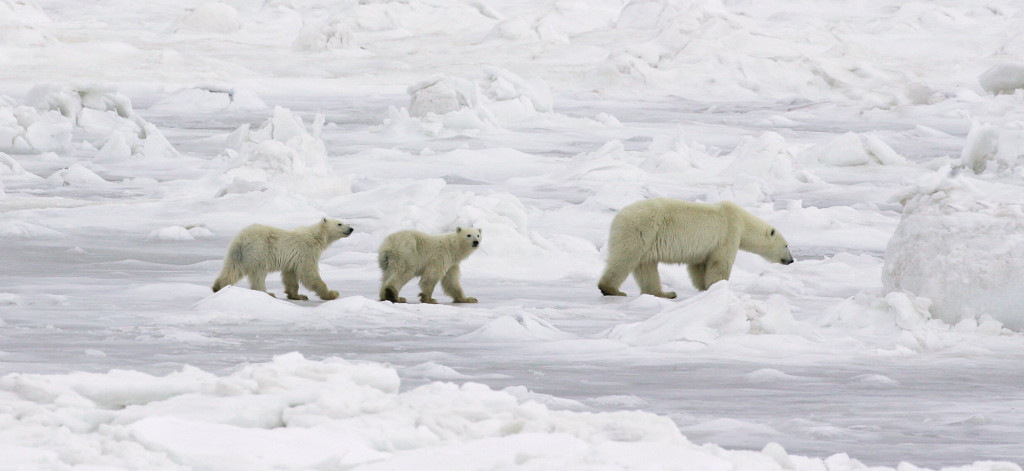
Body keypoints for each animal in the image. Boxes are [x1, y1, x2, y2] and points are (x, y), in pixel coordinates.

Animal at [212, 217, 354, 300]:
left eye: (345, 222)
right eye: (339, 224)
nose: (351, 229)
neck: (316, 236)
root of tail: (242, 239)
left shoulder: (293, 259)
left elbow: (290, 276)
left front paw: (297, 295)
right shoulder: (307, 251)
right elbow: (309, 274)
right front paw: (332, 294)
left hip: (236, 253)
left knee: (232, 269)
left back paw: (218, 287)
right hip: (260, 250)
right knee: (259, 274)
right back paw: (268, 293)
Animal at [598, 198, 793, 298]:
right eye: (786, 245)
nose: (791, 260)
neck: (742, 221)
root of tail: (618, 217)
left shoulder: (704, 249)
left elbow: (698, 266)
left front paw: (704, 287)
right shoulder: (728, 233)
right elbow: (720, 264)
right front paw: (719, 287)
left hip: (647, 239)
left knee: (646, 266)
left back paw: (664, 293)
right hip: (642, 230)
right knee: (625, 259)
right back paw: (611, 289)